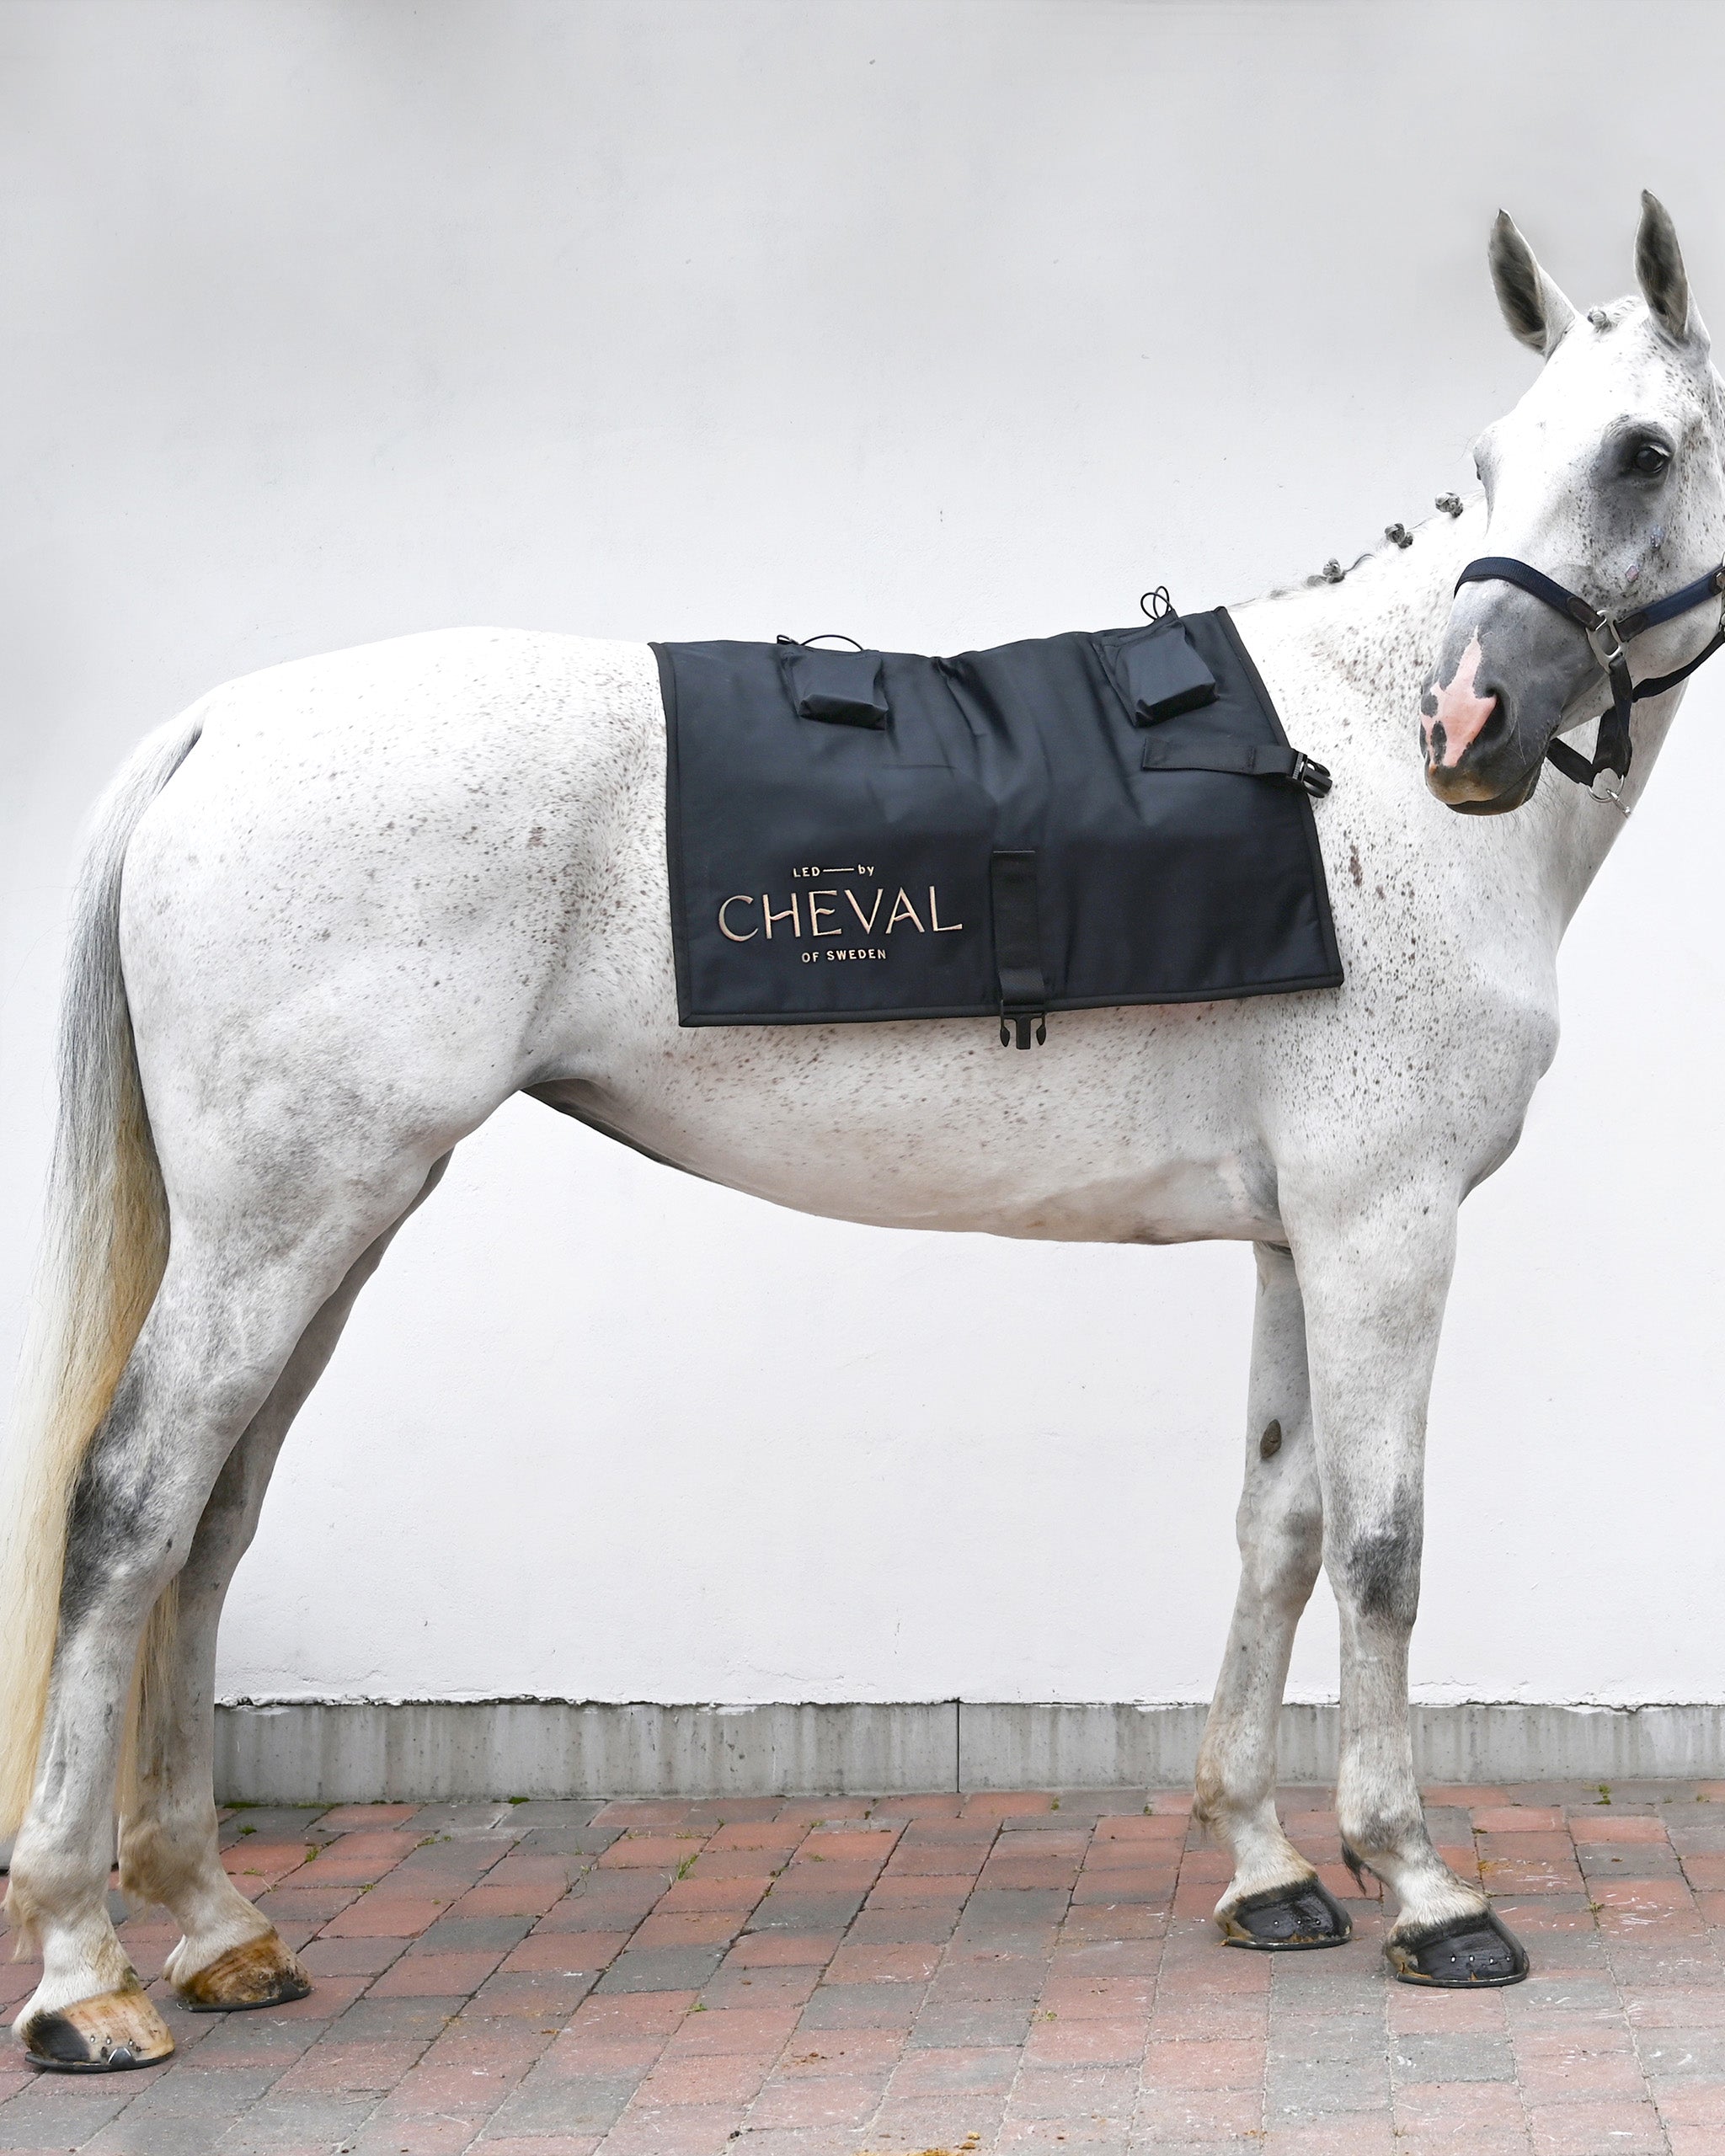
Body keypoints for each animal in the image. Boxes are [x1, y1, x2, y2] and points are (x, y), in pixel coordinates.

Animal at [2, 190, 1719, 2070]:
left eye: (1640, 450)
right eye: (1493, 461)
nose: (1463, 729)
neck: (1343, 780)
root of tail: (222, 723)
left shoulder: (1299, 1230)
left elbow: (1276, 1530)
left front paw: (1264, 1867)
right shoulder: (1385, 1223)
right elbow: (1380, 1547)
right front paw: (1422, 1888)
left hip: (330, 1226)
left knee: (214, 1519)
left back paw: (217, 1922)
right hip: (279, 1227)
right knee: (128, 1509)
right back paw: (84, 1971)